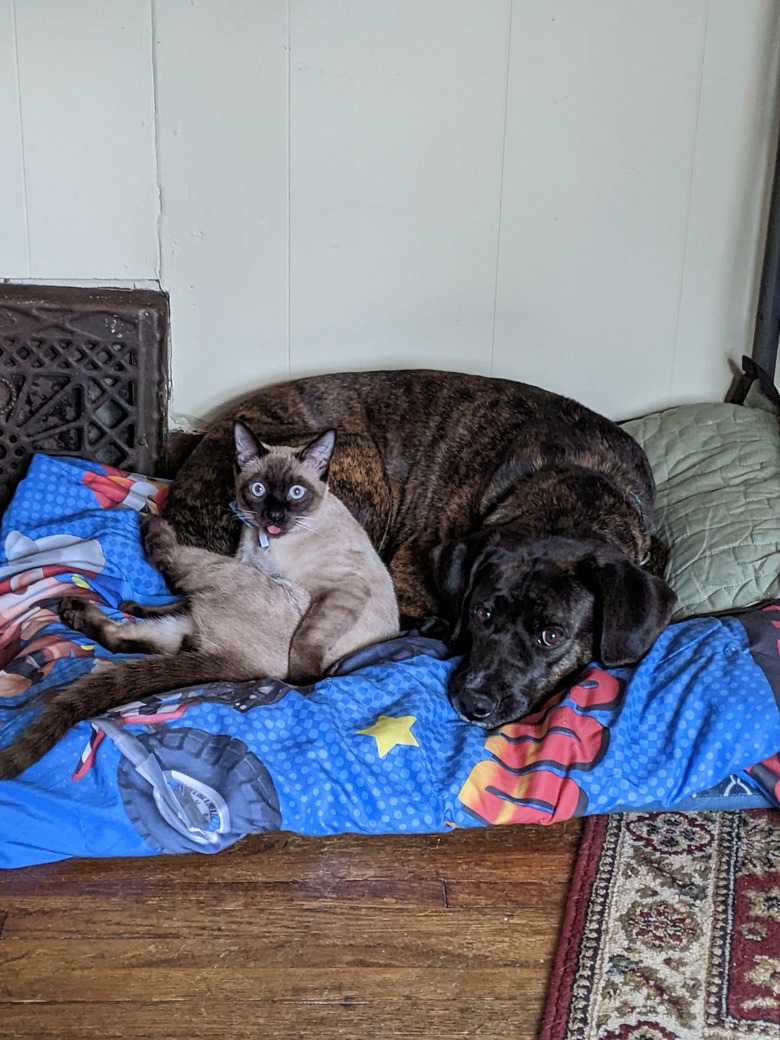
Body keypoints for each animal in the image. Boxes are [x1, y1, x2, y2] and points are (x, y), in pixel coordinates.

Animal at [0, 424, 397, 782]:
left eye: (296, 493)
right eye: (258, 490)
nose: (274, 517)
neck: (263, 543)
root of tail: (249, 668)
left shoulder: (340, 589)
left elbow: (307, 639)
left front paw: (305, 680)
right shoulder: (250, 562)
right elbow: (175, 604)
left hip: (224, 572)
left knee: (170, 574)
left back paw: (149, 522)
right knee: (153, 635)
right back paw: (86, 609)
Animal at [166, 370, 678, 728]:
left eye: (552, 636)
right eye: (481, 614)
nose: (473, 703)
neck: (570, 488)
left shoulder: (653, 544)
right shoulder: (408, 565)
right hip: (361, 464)